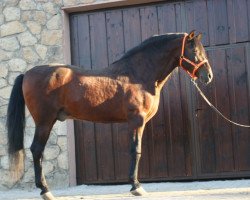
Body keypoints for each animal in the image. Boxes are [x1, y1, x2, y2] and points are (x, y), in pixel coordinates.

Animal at [6, 30, 213, 199]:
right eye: (195, 51)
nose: (208, 76)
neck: (138, 75)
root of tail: (27, 73)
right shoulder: (136, 121)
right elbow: (136, 150)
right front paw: (136, 186)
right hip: (45, 122)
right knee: (36, 150)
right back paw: (45, 190)